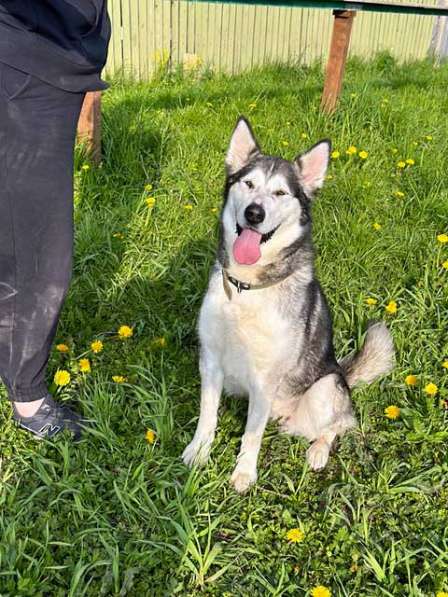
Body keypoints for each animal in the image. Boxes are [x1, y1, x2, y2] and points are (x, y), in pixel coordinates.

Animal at [182, 117, 392, 494]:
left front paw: (244, 473)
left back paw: (319, 451)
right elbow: (207, 416)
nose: (254, 213)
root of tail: (343, 372)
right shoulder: (211, 361)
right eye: (248, 183)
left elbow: (252, 434)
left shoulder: (265, 378)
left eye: (281, 193)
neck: (248, 288)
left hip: (325, 388)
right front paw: (199, 451)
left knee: (340, 424)